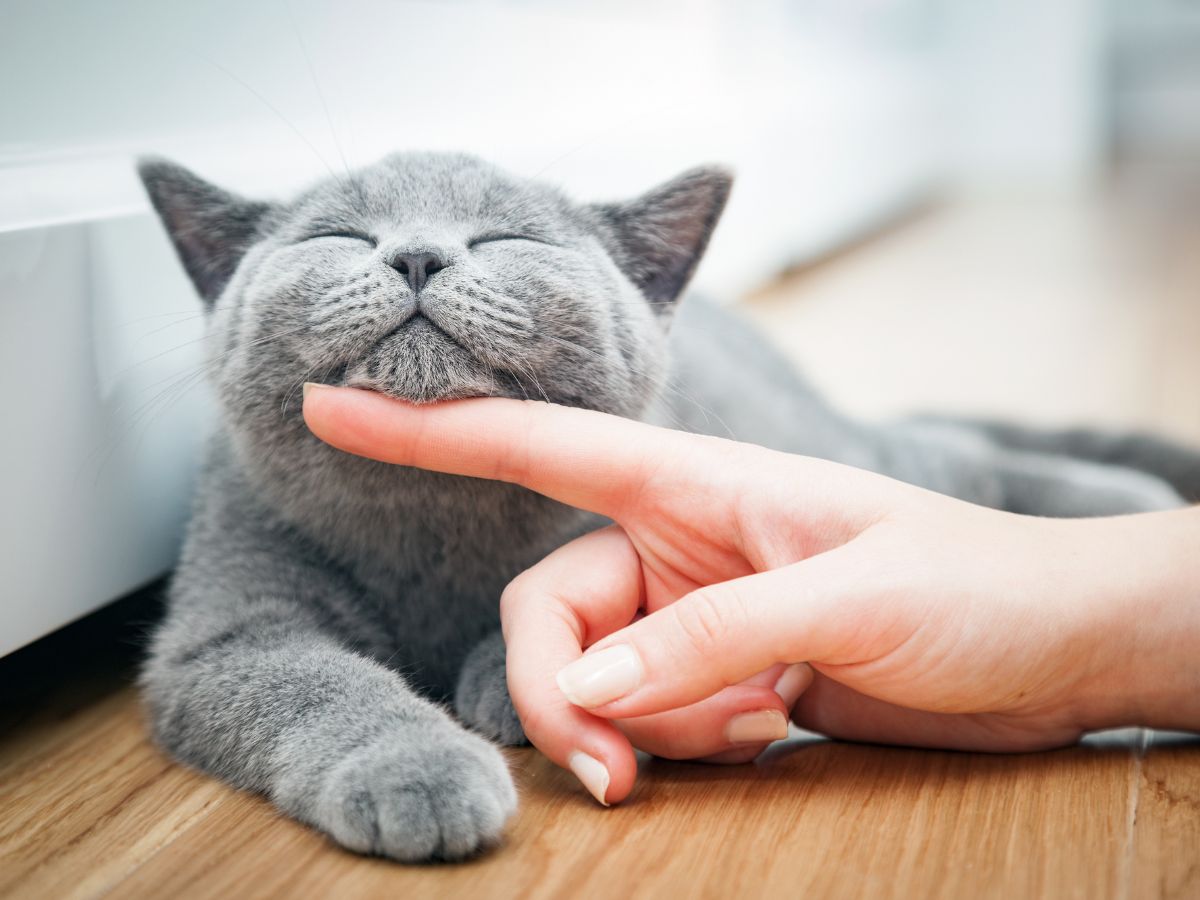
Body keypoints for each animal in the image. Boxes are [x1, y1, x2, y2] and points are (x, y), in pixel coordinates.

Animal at [138, 154, 1200, 868]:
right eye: (338, 238)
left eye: (509, 239)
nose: (419, 256)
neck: (429, 519)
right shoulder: (226, 627)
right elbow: (316, 683)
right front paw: (419, 768)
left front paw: (504, 682)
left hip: (822, 447)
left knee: (945, 456)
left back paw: (1124, 504)